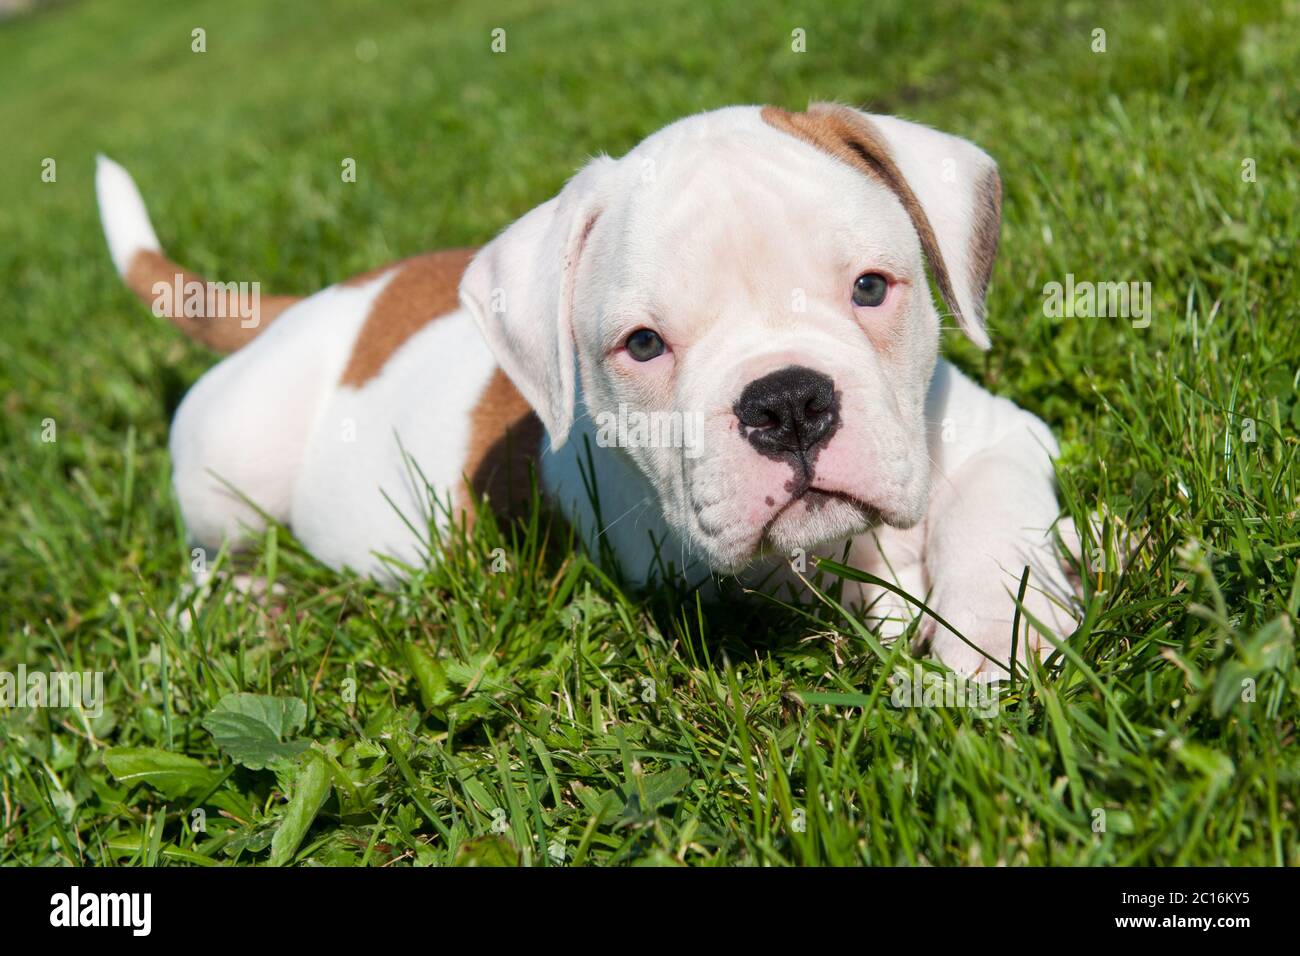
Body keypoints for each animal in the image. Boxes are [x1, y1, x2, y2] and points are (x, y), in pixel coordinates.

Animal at [98, 102, 1076, 671]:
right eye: (643, 345)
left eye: (871, 288)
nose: (788, 405)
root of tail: (305, 306)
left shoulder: (998, 432)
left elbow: (993, 517)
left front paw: (996, 632)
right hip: (229, 470)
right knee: (193, 580)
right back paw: (254, 603)